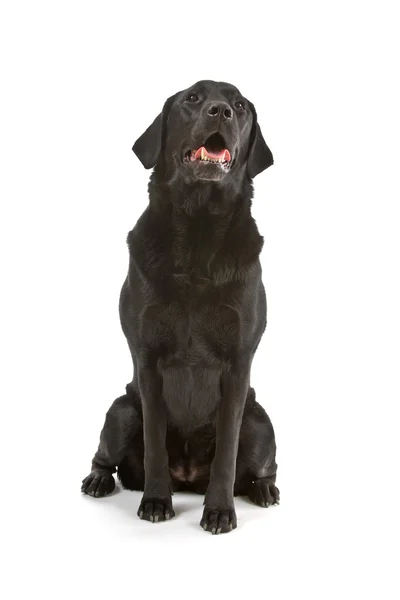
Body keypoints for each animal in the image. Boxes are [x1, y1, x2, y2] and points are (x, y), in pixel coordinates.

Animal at [82, 79, 278, 536]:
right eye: (192, 98)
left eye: (240, 105)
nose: (221, 111)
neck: (198, 230)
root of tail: (188, 477)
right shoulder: (147, 358)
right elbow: (154, 441)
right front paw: (155, 501)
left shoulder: (238, 362)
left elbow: (227, 450)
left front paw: (220, 510)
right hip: (120, 412)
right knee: (105, 454)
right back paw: (98, 480)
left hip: (261, 423)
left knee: (262, 464)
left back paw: (263, 489)